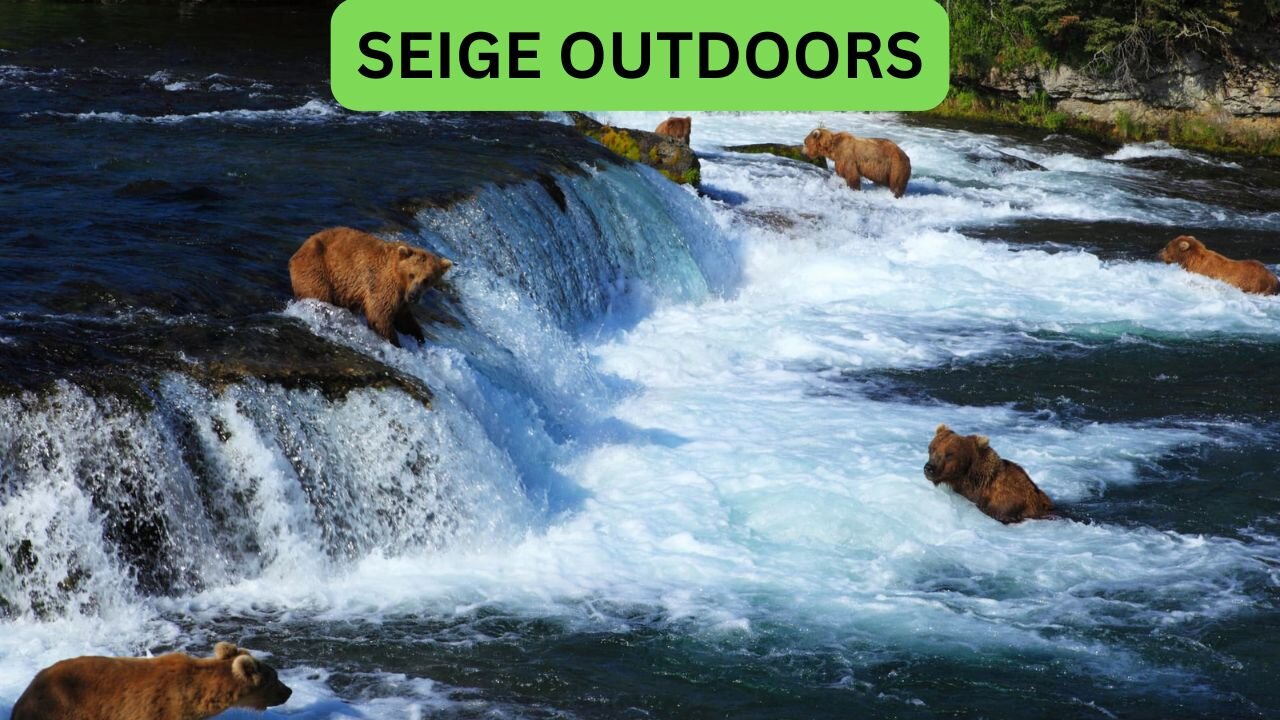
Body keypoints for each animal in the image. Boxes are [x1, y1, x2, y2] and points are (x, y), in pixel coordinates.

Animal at [289, 226, 453, 347]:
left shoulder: (401, 297)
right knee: (319, 294)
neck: (400, 279)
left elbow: (403, 317)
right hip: (318, 268)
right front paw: (396, 342)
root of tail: (299, 250)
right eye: (412, 274)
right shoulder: (384, 283)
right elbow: (379, 314)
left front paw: (418, 336)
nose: (413, 296)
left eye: (427, 279)